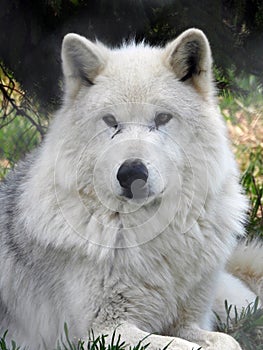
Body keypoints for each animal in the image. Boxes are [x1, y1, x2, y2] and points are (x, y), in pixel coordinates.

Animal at [0, 28, 263, 350]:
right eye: (111, 121)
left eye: (162, 118)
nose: (131, 173)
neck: (151, 232)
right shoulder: (104, 331)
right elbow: (182, 346)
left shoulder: (189, 322)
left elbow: (228, 342)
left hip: (235, 304)